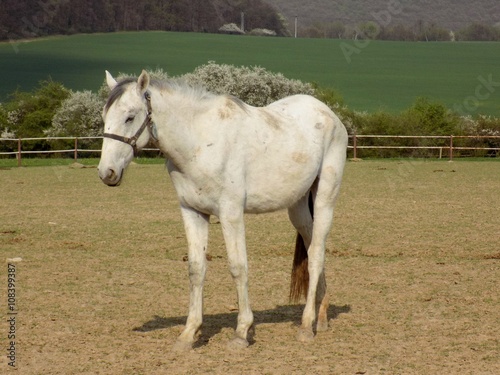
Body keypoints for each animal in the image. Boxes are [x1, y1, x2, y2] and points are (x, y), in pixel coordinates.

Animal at [97, 70, 348, 352]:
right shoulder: (192, 212)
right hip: (298, 209)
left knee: (316, 255)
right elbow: (196, 269)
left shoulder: (231, 213)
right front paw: (189, 334)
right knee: (312, 246)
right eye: (105, 117)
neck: (199, 142)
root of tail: (328, 113)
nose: (106, 173)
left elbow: (238, 267)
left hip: (325, 199)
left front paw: (241, 332)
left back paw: (306, 326)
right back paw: (321, 317)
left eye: (130, 116)